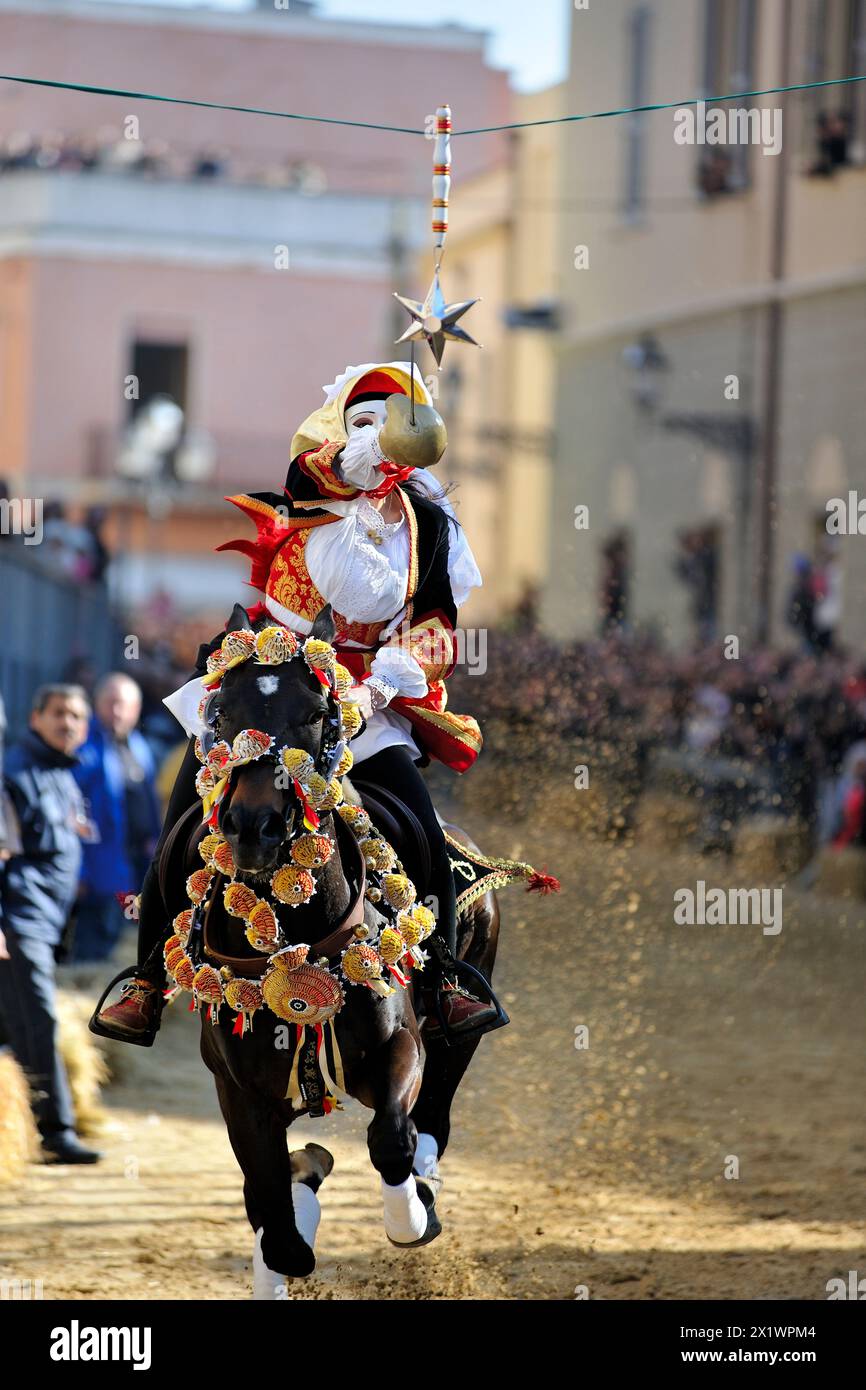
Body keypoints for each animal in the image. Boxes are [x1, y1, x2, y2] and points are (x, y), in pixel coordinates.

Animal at [154, 603, 500, 1284]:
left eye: (315, 713)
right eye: (220, 712)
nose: (252, 828)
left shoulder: (398, 1046)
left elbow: (389, 1140)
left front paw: (410, 1218)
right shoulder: (239, 1091)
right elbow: (276, 1220)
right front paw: (303, 1183)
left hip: (458, 1027)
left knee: (433, 1116)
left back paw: (425, 1183)